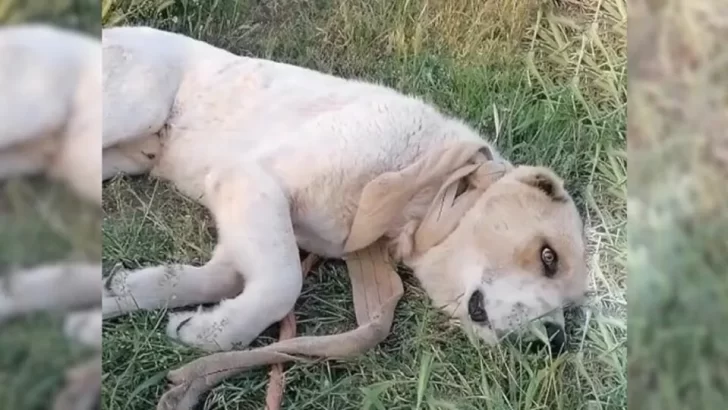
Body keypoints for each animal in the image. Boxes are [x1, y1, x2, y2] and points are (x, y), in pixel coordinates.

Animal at [102, 26, 588, 356]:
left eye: (572, 307)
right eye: (548, 257)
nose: (555, 343)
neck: (416, 185)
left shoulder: (246, 220)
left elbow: (209, 278)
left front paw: (123, 292)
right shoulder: (250, 178)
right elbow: (282, 284)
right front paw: (218, 334)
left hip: (130, 155)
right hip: (139, 105)